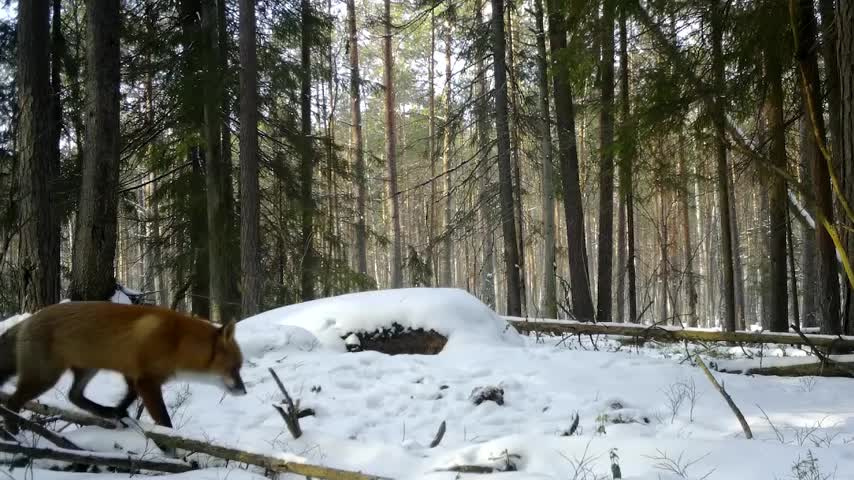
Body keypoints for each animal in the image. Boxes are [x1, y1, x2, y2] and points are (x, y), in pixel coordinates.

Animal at [0, 302, 247, 434]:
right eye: (235, 367)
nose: (244, 391)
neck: (177, 343)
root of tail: (28, 320)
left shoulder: (134, 375)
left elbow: (128, 398)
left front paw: (119, 414)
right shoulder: (147, 381)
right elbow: (164, 421)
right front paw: (171, 450)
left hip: (87, 368)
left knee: (74, 396)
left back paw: (104, 411)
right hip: (44, 377)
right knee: (13, 402)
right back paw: (15, 434)